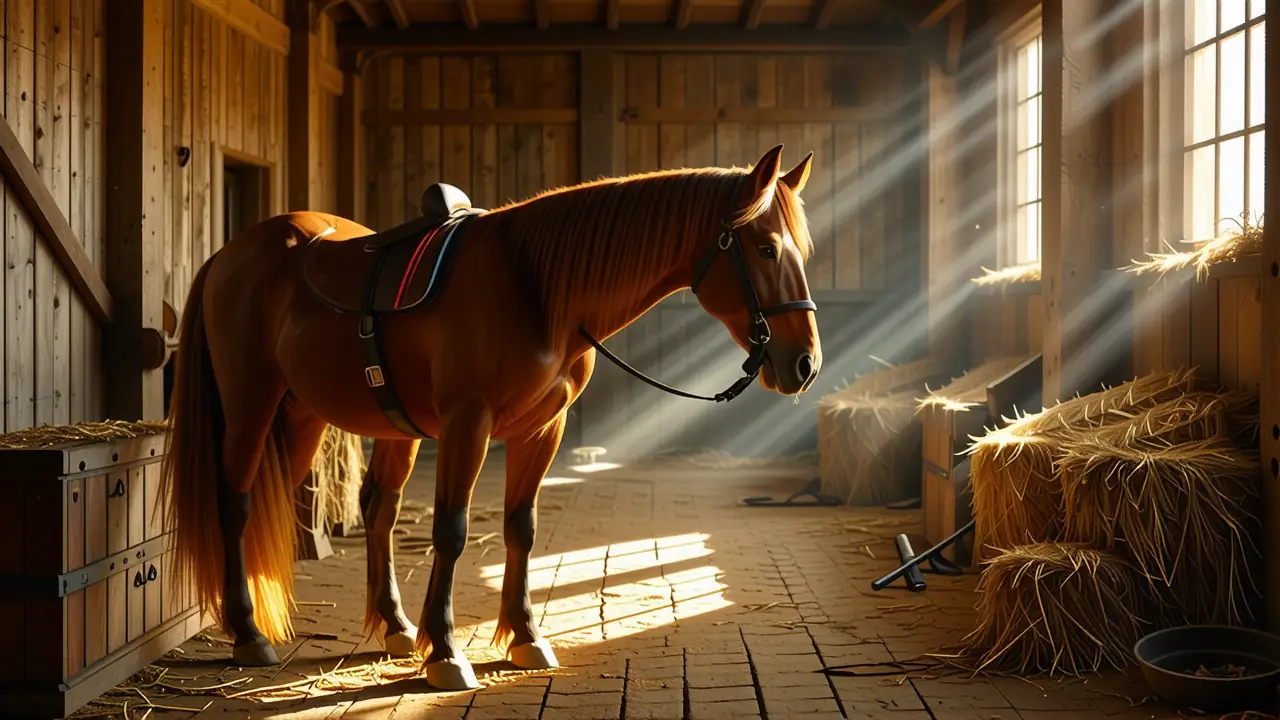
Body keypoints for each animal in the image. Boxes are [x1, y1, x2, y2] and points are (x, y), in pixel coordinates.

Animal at [159, 144, 824, 690]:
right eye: (766, 248)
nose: (804, 364)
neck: (536, 287)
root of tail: (231, 255)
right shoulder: (467, 424)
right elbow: (452, 531)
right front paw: (446, 652)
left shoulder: (542, 430)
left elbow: (521, 529)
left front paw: (525, 637)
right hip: (252, 403)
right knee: (237, 504)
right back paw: (249, 633)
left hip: (311, 418)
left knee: (375, 508)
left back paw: (394, 626)